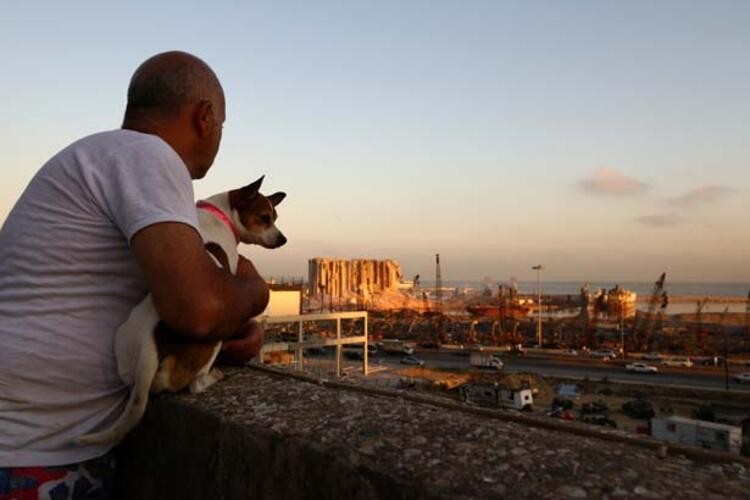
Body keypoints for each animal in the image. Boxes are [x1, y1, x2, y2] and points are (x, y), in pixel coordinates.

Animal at [76, 176, 286, 446]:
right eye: (264, 218)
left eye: (275, 217)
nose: (283, 239)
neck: (220, 212)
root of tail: (149, 347)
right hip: (211, 343)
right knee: (195, 384)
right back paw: (214, 376)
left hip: (123, 342)